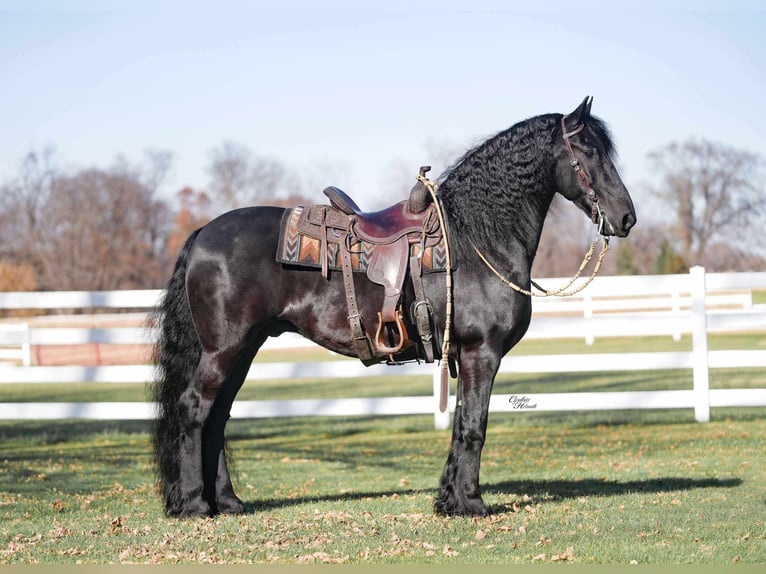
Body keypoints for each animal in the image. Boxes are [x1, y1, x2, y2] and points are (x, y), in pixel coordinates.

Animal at [151, 96, 636, 518]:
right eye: (589, 150)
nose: (626, 218)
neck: (477, 238)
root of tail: (202, 234)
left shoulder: (464, 356)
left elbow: (459, 424)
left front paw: (449, 500)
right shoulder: (482, 353)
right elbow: (474, 426)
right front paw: (472, 504)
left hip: (245, 348)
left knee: (218, 416)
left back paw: (228, 502)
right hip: (224, 349)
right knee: (196, 409)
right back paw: (194, 505)